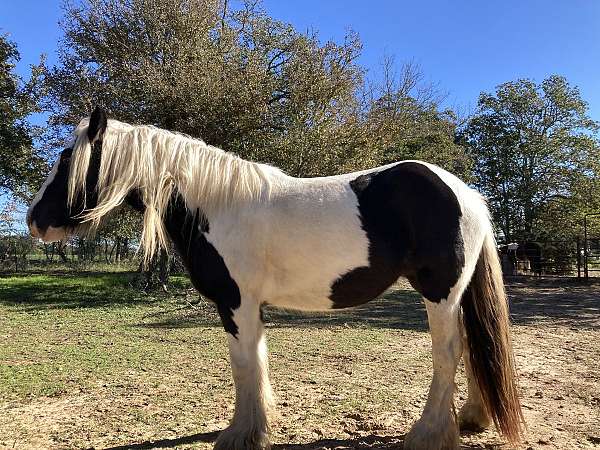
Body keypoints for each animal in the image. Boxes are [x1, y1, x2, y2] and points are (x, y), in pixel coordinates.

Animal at [25, 109, 524, 450]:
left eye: (67, 160)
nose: (34, 221)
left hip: (441, 292)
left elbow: (244, 365)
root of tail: (465, 193)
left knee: (449, 353)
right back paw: (470, 418)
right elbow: (258, 361)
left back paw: (428, 433)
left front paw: (240, 433)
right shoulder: (251, 307)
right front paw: (258, 426)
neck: (217, 205)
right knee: (472, 345)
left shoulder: (236, 303)